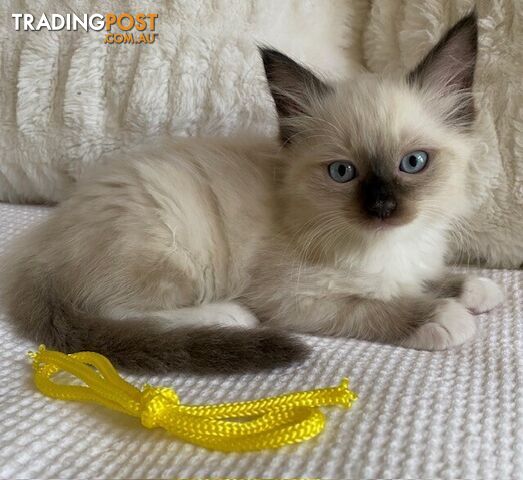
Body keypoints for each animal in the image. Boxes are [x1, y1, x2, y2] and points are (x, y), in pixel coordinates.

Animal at [2, 13, 506, 374]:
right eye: (343, 172)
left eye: (413, 163)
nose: (382, 207)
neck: (389, 246)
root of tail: (40, 248)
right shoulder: (296, 299)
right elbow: (371, 307)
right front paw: (441, 317)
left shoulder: (411, 262)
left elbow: (426, 277)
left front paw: (474, 289)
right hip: (174, 254)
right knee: (115, 312)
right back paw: (231, 316)